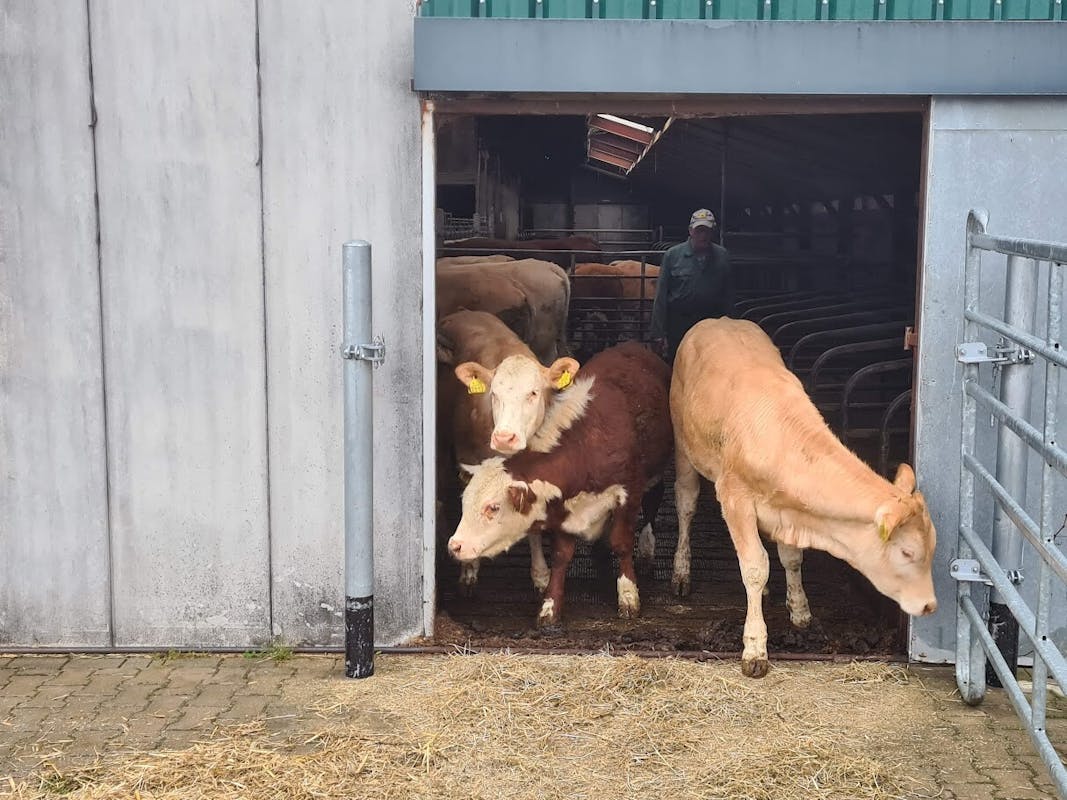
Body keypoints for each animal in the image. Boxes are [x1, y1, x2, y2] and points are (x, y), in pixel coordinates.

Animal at [437, 310, 580, 595]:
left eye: (534, 392)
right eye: (494, 394)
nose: (504, 437)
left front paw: (541, 574)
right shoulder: (468, 462)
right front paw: (468, 567)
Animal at [447, 342, 672, 628]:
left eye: (493, 507)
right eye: (464, 504)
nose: (455, 545)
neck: (587, 445)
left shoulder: (629, 492)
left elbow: (622, 542)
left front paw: (628, 595)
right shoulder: (565, 504)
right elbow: (561, 555)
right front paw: (550, 606)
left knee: (655, 499)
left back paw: (645, 550)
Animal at [669, 317, 937, 678]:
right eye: (907, 552)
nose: (929, 605)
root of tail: (719, 320)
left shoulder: (789, 510)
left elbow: (791, 559)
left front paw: (799, 610)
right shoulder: (735, 499)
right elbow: (754, 566)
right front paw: (755, 647)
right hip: (683, 447)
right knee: (686, 505)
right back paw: (681, 572)